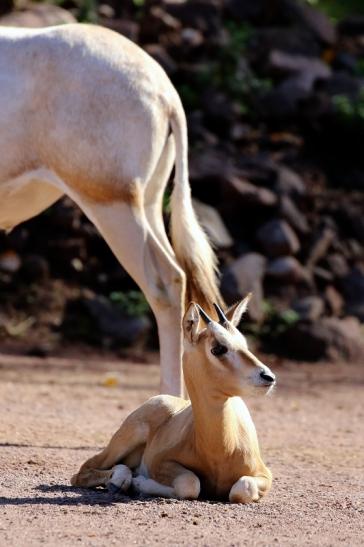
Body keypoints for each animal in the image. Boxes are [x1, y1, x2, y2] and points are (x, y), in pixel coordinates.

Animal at [71, 298, 276, 504]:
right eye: (218, 348)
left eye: (244, 343)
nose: (268, 376)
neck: (222, 447)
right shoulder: (161, 462)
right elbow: (190, 483)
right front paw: (139, 483)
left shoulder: (264, 474)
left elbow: (243, 488)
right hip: (123, 441)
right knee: (82, 472)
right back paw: (120, 480)